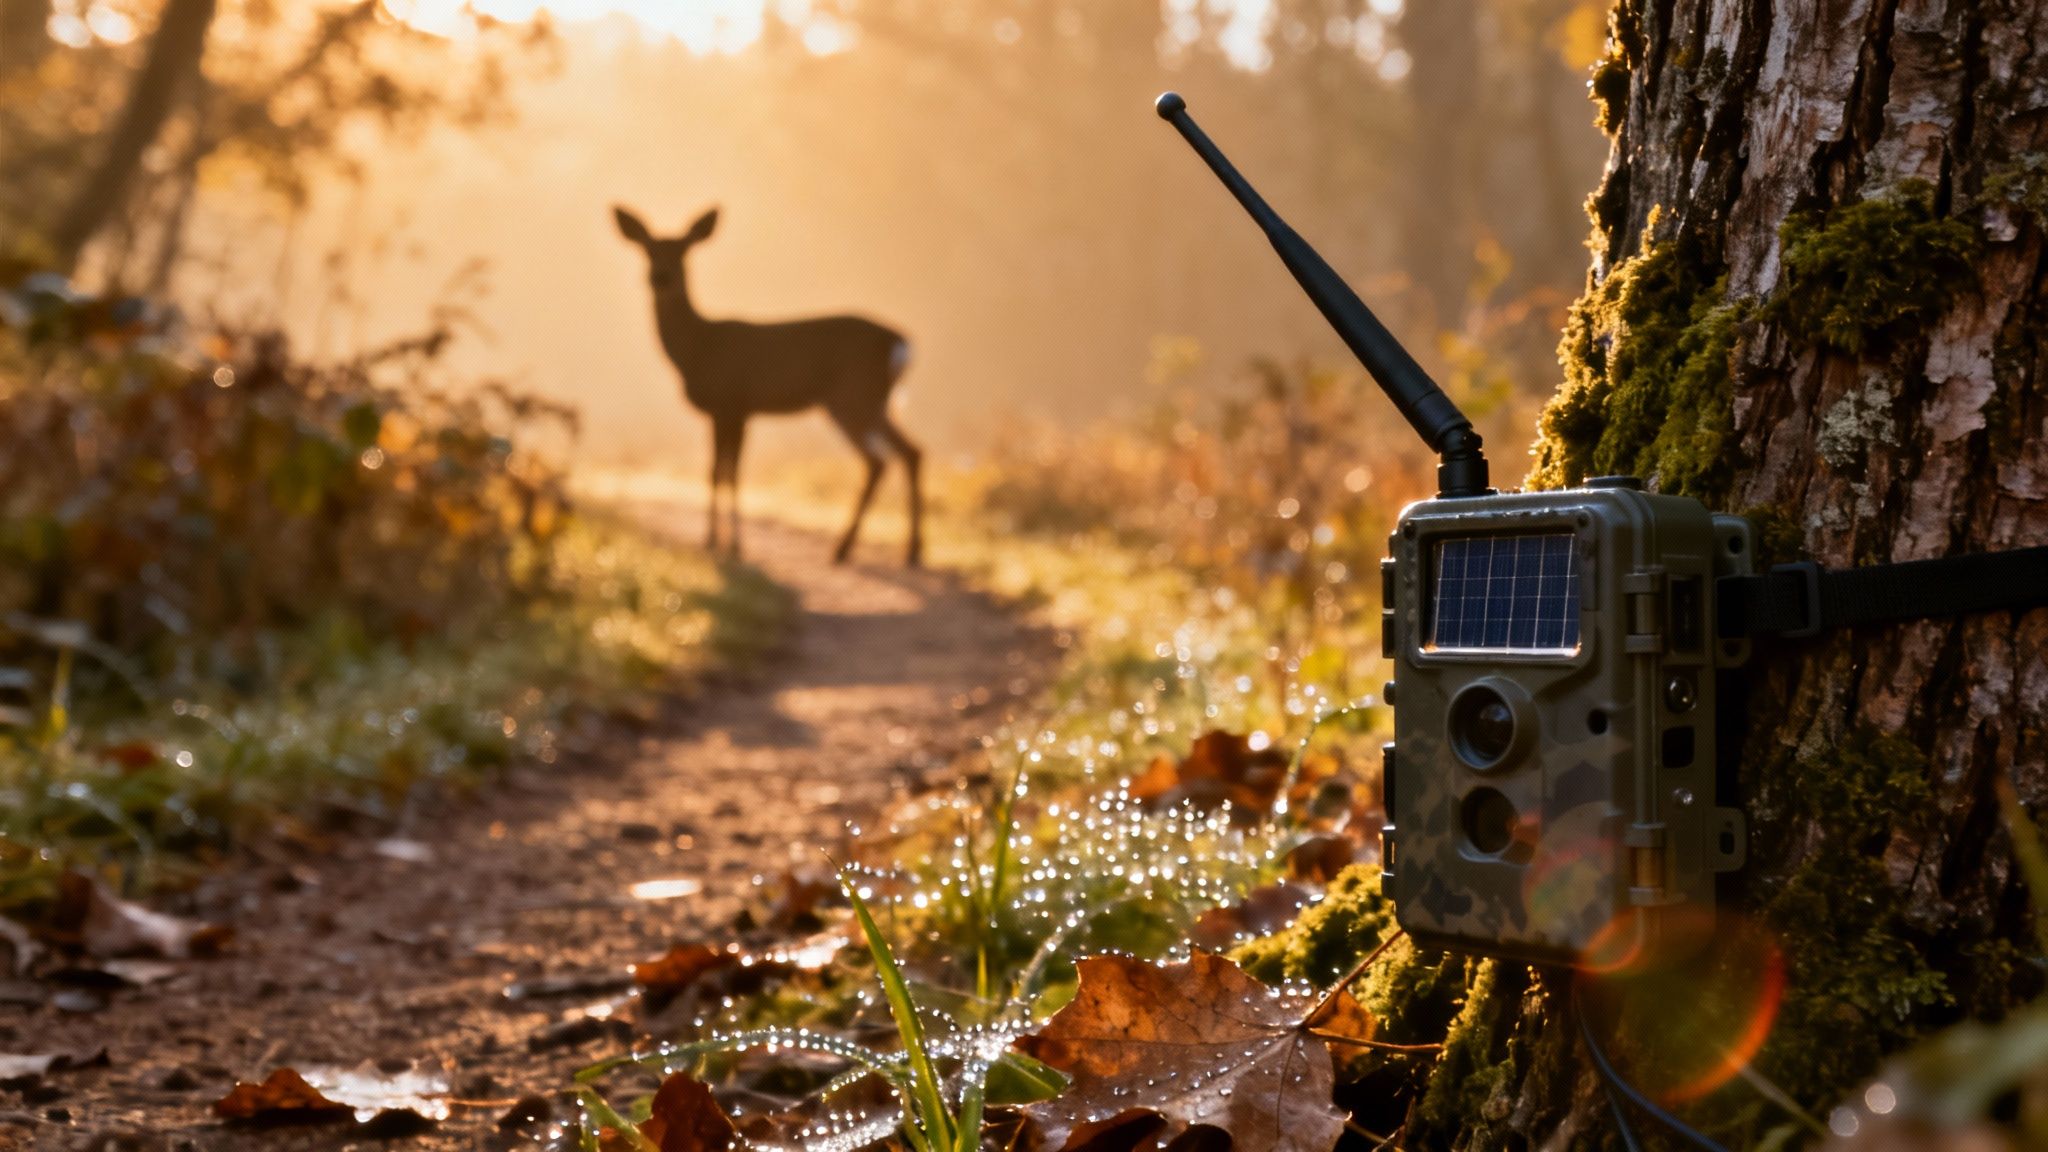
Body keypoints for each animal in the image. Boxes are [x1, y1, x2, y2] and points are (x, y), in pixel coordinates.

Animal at [613, 205, 923, 567]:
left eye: (684, 251)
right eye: (648, 249)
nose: (660, 277)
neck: (697, 349)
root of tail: (900, 343)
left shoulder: (731, 403)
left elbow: (724, 472)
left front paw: (724, 543)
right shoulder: (735, 411)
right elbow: (719, 470)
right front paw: (722, 541)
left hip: (855, 396)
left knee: (881, 459)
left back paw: (847, 548)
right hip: (872, 401)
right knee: (909, 452)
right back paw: (907, 551)